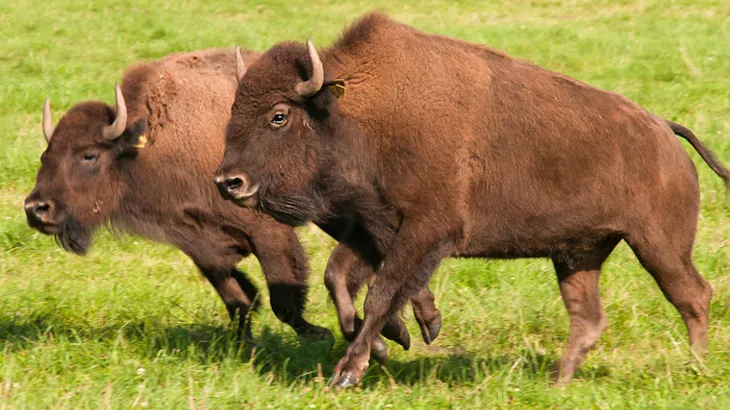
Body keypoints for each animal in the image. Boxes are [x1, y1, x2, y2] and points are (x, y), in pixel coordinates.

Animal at [215, 13, 730, 387]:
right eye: (235, 106)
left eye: (279, 115)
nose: (228, 181)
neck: (355, 113)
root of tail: (663, 128)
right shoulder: (372, 226)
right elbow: (340, 278)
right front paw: (394, 341)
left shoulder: (423, 231)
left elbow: (381, 291)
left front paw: (349, 371)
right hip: (578, 255)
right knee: (588, 318)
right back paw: (559, 383)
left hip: (658, 246)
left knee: (693, 296)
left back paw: (695, 368)